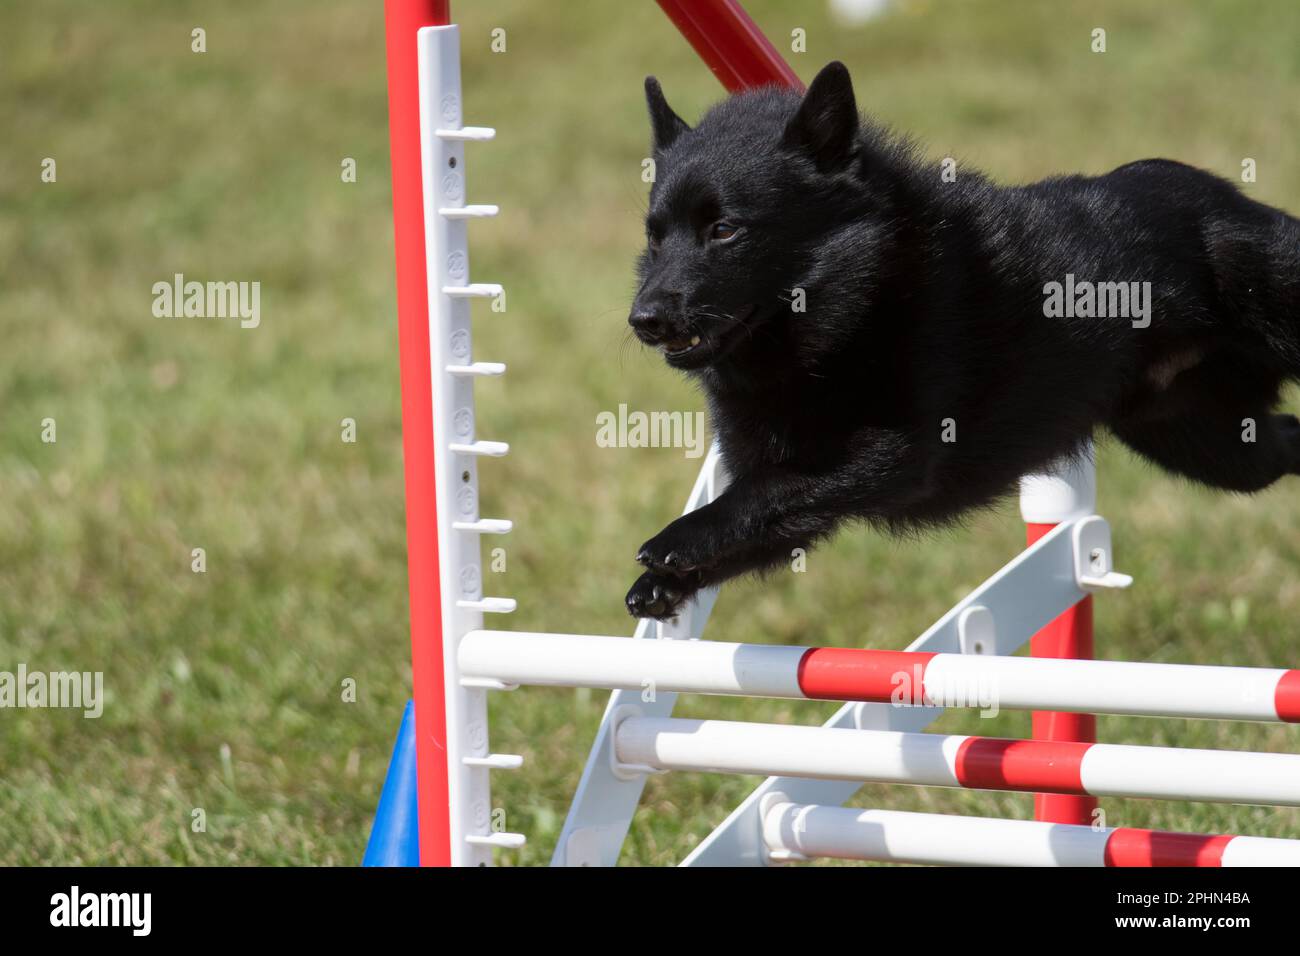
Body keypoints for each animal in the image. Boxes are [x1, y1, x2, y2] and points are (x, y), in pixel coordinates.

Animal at [621, 61, 1300, 621]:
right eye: (654, 235)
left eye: (725, 229)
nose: (643, 319)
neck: (853, 310)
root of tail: (1228, 196)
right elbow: (758, 520)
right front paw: (665, 584)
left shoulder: (893, 455)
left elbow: (764, 494)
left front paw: (675, 539)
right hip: (1213, 447)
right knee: (1285, 442)